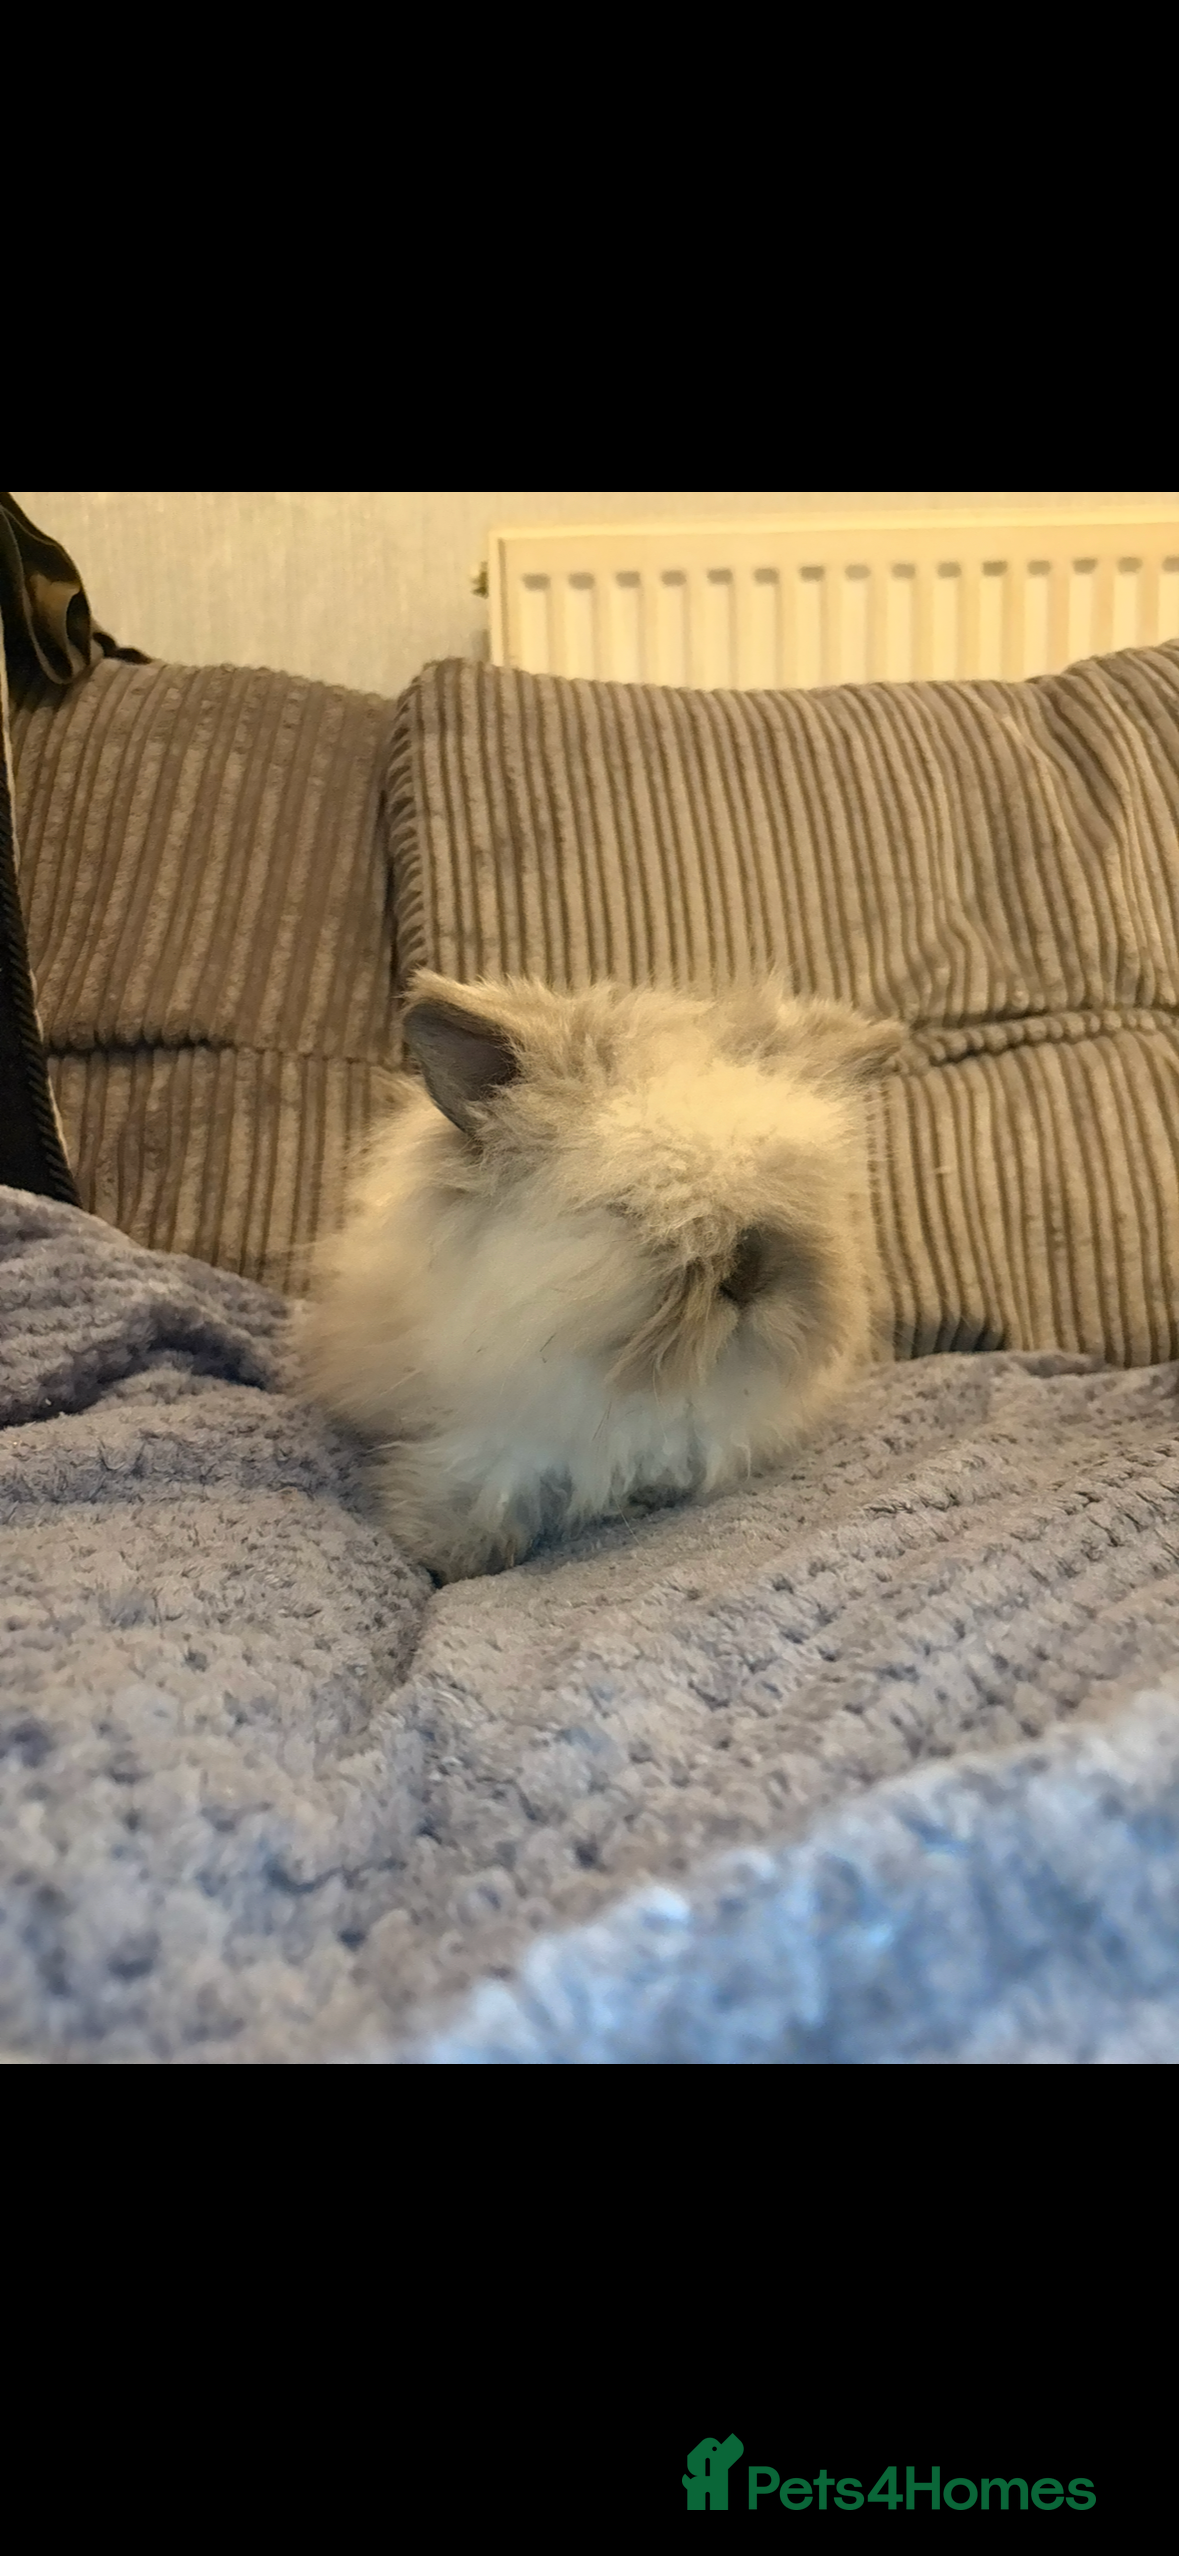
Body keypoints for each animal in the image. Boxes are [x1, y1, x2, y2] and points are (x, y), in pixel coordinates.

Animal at [296, 968, 905, 1583]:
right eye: (628, 1206)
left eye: (793, 1195)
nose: (749, 1277)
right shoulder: (484, 1440)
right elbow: (481, 1484)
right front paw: (449, 1557)